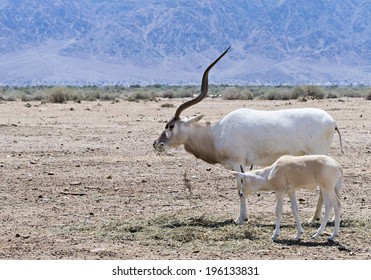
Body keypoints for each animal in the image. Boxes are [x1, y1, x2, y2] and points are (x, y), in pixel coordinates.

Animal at [153, 47, 344, 224]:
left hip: (318, 153)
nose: (157, 143)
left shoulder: (237, 163)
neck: (217, 132)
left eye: (171, 126)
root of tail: (332, 121)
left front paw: (241, 218)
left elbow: (240, 187)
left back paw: (315, 218)